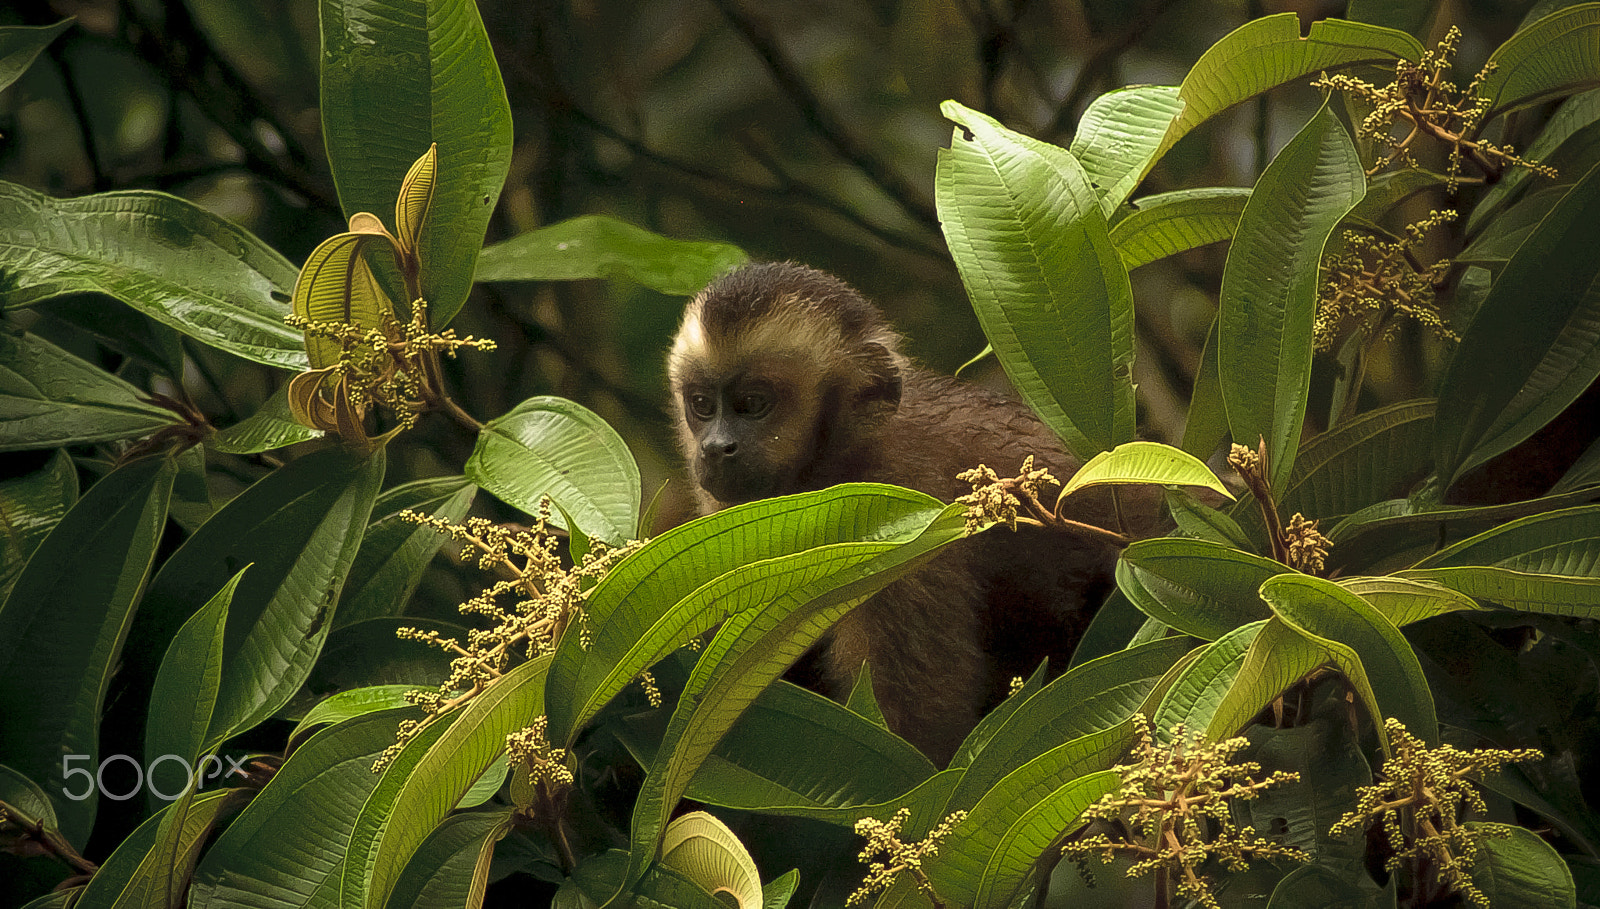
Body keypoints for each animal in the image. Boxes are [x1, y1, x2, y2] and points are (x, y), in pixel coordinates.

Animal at [667, 261, 1143, 765]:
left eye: (753, 405)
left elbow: (923, 727)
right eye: (702, 405)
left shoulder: (901, 528)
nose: (716, 447)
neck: (845, 461)